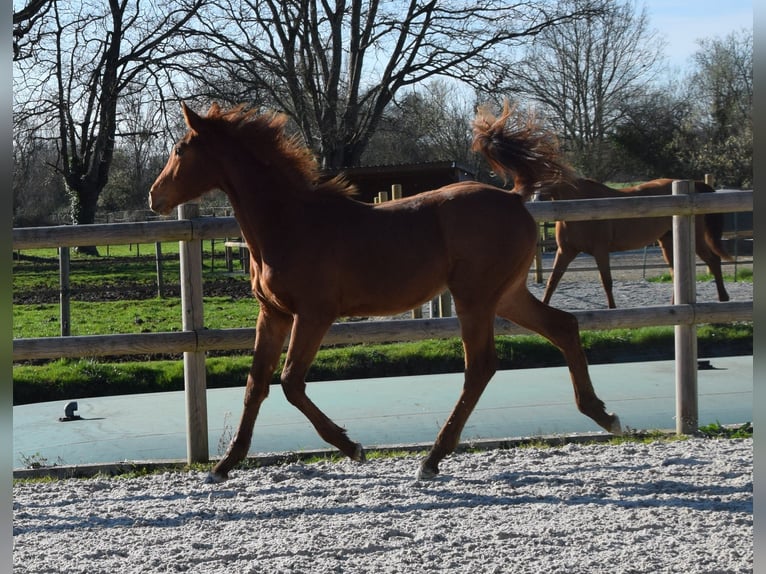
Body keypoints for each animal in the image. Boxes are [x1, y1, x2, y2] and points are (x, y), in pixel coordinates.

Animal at [149, 100, 622, 483]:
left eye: (179, 150)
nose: (154, 196)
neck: (289, 222)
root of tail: (514, 197)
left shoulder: (314, 314)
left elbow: (291, 382)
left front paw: (352, 446)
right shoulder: (274, 314)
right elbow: (255, 385)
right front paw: (223, 466)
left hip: (475, 299)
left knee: (481, 366)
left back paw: (432, 459)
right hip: (505, 295)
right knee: (563, 327)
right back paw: (604, 415)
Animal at [535, 178, 732, 309]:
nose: (536, 199)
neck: (581, 203)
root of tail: (695, 186)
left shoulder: (600, 250)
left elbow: (606, 281)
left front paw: (612, 309)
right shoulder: (565, 251)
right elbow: (552, 281)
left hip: (696, 240)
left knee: (713, 260)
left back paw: (723, 298)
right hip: (668, 242)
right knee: (676, 271)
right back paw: (674, 305)